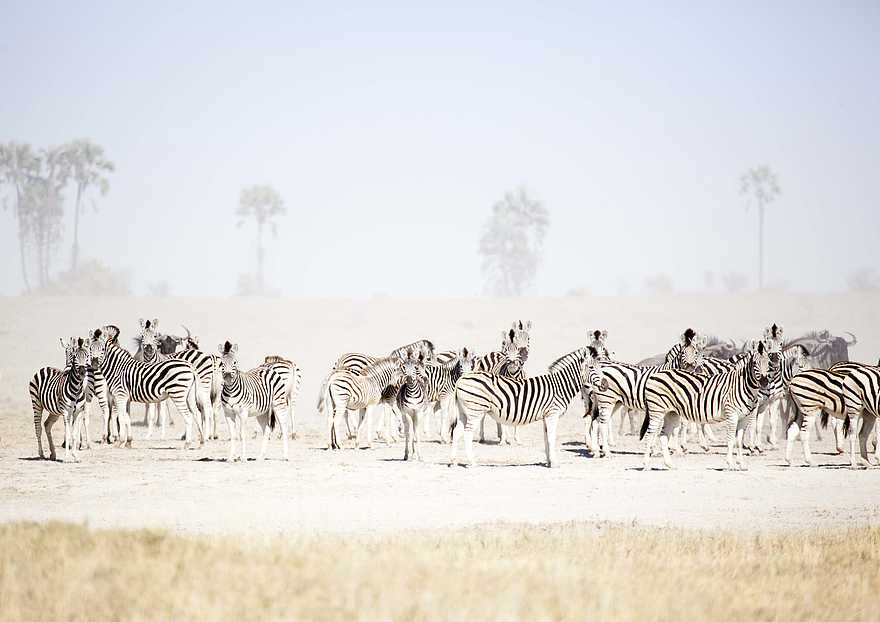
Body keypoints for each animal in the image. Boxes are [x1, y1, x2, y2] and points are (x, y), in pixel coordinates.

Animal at [450, 345, 605, 468]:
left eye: (601, 367)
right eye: (591, 367)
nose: (605, 384)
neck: (559, 387)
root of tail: (461, 379)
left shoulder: (546, 416)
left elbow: (546, 438)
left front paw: (548, 462)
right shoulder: (552, 414)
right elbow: (552, 438)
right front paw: (554, 463)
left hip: (463, 412)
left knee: (457, 432)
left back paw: (453, 461)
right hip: (475, 411)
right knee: (467, 434)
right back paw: (472, 463)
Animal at [641, 340, 773, 471]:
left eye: (768, 362)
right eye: (755, 363)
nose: (764, 382)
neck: (743, 385)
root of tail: (654, 375)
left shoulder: (744, 418)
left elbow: (739, 441)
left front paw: (741, 464)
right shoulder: (732, 415)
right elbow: (730, 440)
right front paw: (730, 464)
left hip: (671, 413)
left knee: (663, 436)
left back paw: (670, 464)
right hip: (657, 410)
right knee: (649, 434)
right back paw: (646, 465)